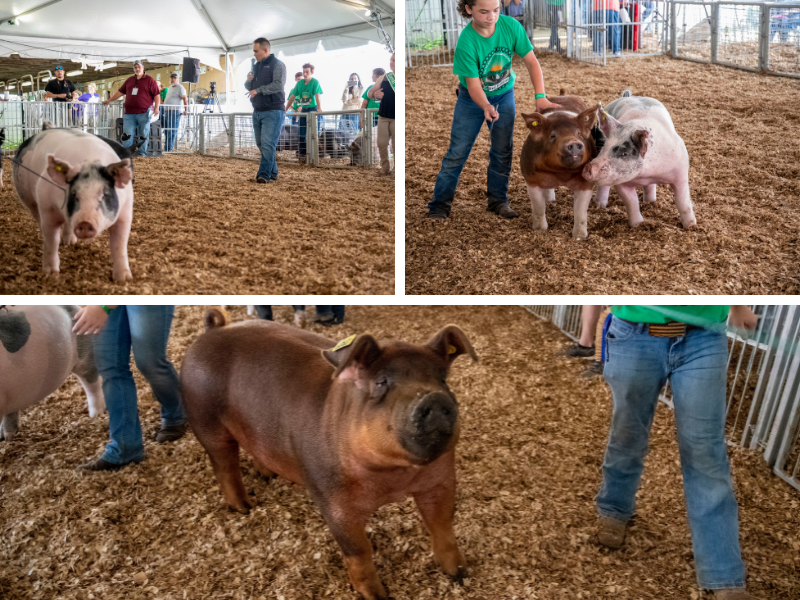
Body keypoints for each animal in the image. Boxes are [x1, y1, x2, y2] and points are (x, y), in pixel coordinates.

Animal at [181, 310, 478, 600]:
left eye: (442, 379)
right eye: (381, 382)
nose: (433, 398)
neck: (395, 477)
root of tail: (214, 329)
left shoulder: (440, 479)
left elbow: (442, 525)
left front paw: (460, 574)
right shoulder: (333, 501)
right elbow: (358, 551)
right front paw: (378, 596)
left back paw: (268, 477)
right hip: (206, 421)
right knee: (224, 465)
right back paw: (244, 508)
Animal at [520, 94, 600, 239]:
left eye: (578, 133)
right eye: (553, 135)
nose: (573, 142)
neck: (561, 173)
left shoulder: (586, 183)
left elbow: (580, 211)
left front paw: (579, 237)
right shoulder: (531, 178)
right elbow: (538, 207)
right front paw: (540, 230)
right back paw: (550, 200)